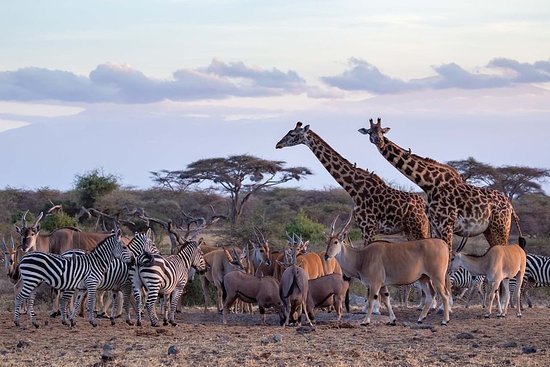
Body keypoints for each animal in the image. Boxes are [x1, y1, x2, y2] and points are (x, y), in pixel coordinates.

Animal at [276, 122, 432, 246]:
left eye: (292, 134)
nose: (278, 144)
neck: (353, 187)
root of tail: (425, 205)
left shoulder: (368, 227)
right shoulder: (365, 228)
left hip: (419, 228)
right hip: (411, 230)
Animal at [360, 118, 528, 256]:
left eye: (382, 131)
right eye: (370, 132)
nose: (379, 140)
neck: (429, 184)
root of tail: (511, 207)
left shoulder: (446, 225)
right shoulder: (436, 226)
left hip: (500, 227)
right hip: (489, 230)